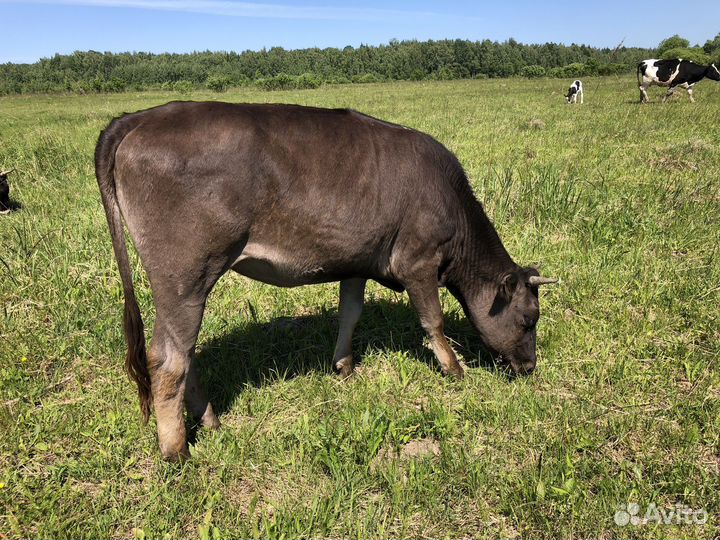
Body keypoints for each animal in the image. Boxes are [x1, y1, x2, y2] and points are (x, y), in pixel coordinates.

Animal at [95, 102, 558, 461]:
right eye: (528, 319)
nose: (530, 367)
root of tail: (141, 117)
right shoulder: (418, 261)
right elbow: (433, 320)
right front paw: (454, 369)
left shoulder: (356, 261)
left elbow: (350, 313)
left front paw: (344, 366)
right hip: (186, 277)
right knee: (168, 358)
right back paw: (176, 451)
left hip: (185, 284)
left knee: (185, 351)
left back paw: (210, 421)